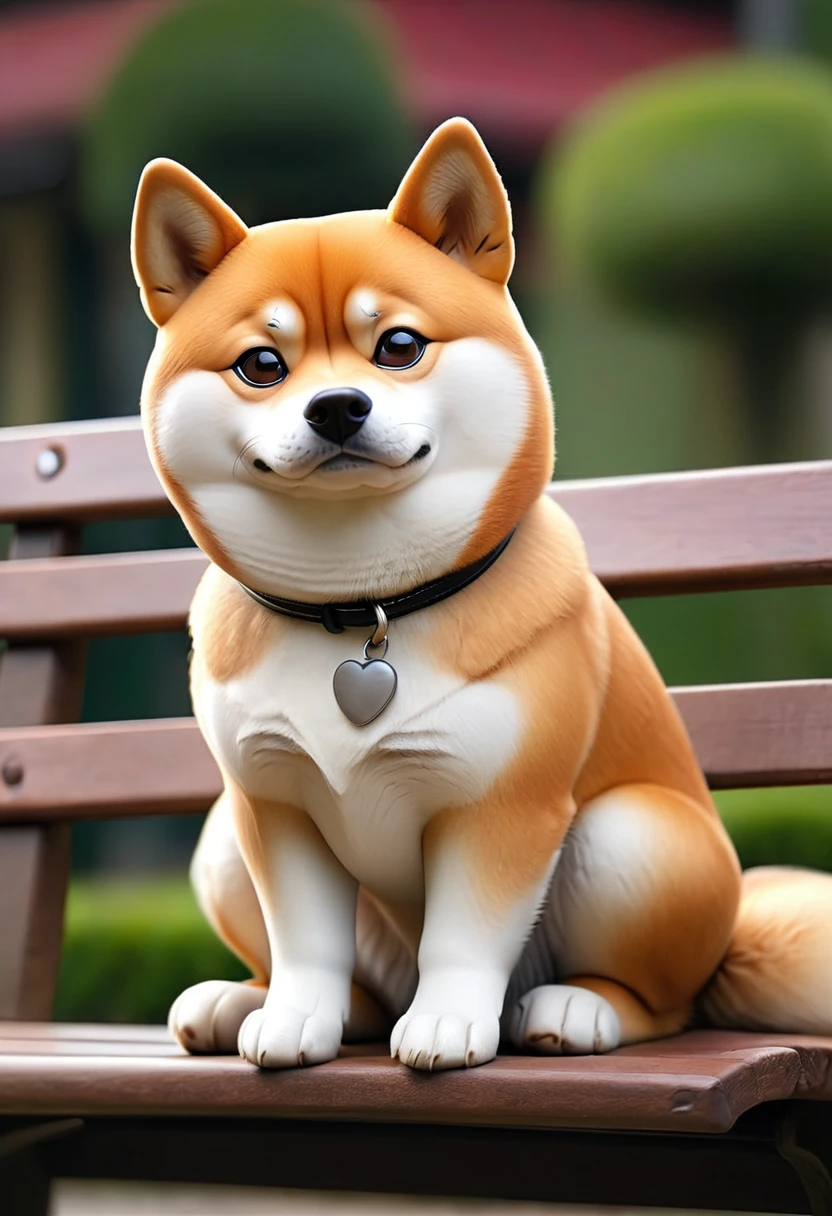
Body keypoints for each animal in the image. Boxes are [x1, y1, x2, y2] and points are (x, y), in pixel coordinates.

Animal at [130, 111, 832, 1065]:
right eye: (262, 365)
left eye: (398, 346)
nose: (337, 406)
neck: (363, 608)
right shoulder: (272, 803)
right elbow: (306, 941)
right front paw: (292, 1017)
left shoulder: (502, 806)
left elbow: (462, 938)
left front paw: (448, 1023)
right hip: (220, 845)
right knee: (356, 986)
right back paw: (245, 999)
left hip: (635, 839)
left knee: (667, 1003)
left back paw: (579, 1008)